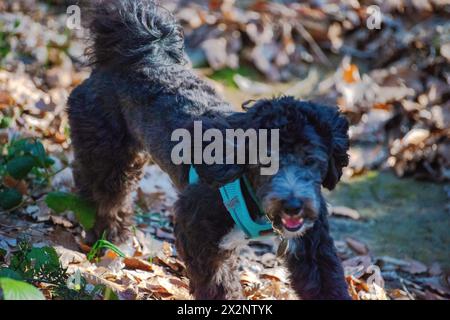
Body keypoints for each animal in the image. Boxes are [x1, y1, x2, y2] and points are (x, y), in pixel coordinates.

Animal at [68, 0, 352, 300]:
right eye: (266, 160)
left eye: (312, 160)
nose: (293, 205)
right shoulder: (196, 229)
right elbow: (218, 284)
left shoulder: (312, 243)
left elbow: (326, 281)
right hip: (107, 151)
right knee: (104, 195)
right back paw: (107, 239)